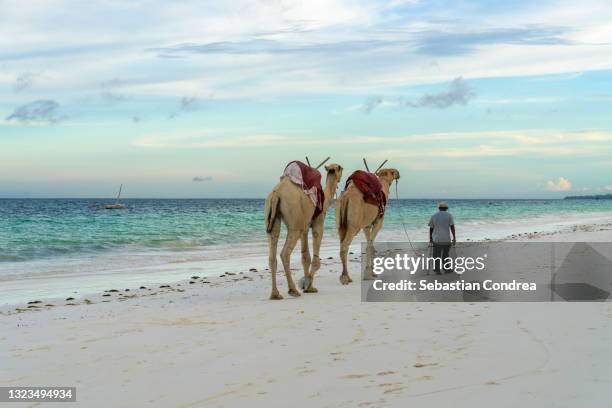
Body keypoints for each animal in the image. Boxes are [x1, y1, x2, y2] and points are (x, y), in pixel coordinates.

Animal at [262, 163, 342, 300]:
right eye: (341, 168)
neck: (325, 199)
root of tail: (277, 193)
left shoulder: (305, 226)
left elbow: (305, 257)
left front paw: (308, 287)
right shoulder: (318, 222)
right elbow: (315, 259)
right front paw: (307, 284)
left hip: (272, 217)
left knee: (272, 253)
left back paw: (275, 294)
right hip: (295, 223)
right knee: (285, 253)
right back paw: (293, 290)